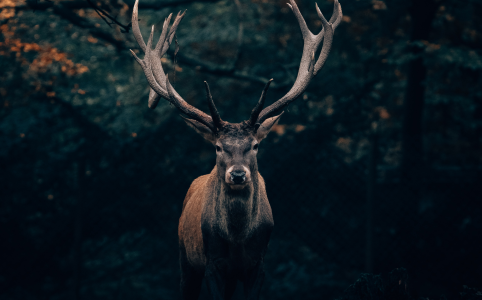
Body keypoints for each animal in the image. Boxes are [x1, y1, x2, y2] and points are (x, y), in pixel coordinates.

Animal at [129, 0, 342, 298]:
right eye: (218, 147)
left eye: (255, 145)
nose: (238, 175)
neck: (239, 240)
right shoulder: (212, 263)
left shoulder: (259, 264)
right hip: (185, 257)